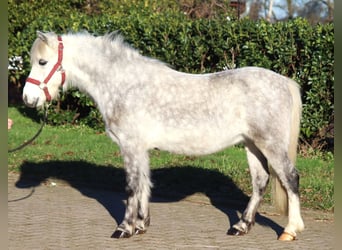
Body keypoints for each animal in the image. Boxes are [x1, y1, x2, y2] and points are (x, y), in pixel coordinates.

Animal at [22, 31, 304, 240]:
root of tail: (284, 82)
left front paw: (124, 228)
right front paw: (141, 225)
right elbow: (144, 183)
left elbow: (132, 185)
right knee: (260, 182)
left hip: (270, 144)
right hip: (252, 144)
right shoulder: (140, 149)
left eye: (42, 62)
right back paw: (241, 226)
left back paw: (290, 230)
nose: (28, 99)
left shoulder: (130, 145)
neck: (124, 85)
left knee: (290, 178)